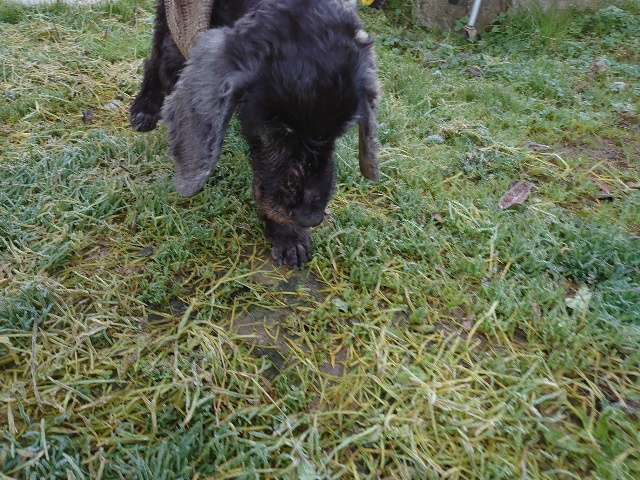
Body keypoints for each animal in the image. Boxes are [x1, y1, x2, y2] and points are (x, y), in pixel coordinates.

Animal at [130, 0, 380, 268]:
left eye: (340, 132)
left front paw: (290, 234)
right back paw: (145, 108)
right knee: (156, 54)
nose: (310, 218)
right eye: (277, 129)